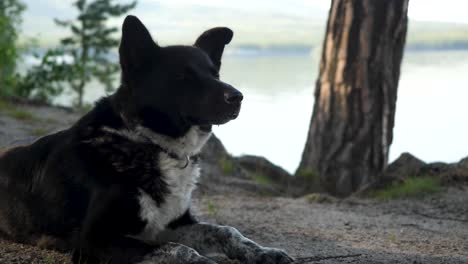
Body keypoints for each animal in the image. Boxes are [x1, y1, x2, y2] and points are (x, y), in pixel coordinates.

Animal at [0, 16, 292, 264]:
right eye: (182, 75)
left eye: (215, 74)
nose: (238, 97)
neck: (151, 142)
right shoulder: (94, 241)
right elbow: (177, 250)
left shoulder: (171, 224)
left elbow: (225, 230)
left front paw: (265, 252)